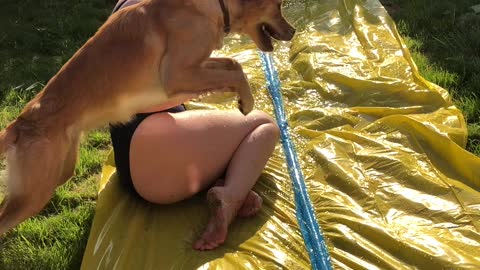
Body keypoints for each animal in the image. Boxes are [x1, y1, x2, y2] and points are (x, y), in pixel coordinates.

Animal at [0, 0, 296, 236]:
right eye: (279, 5)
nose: (293, 32)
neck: (212, 6)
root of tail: (18, 125)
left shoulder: (196, 67)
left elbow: (232, 64)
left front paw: (241, 96)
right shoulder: (176, 75)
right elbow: (235, 71)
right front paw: (247, 100)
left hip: (56, 174)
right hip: (35, 192)